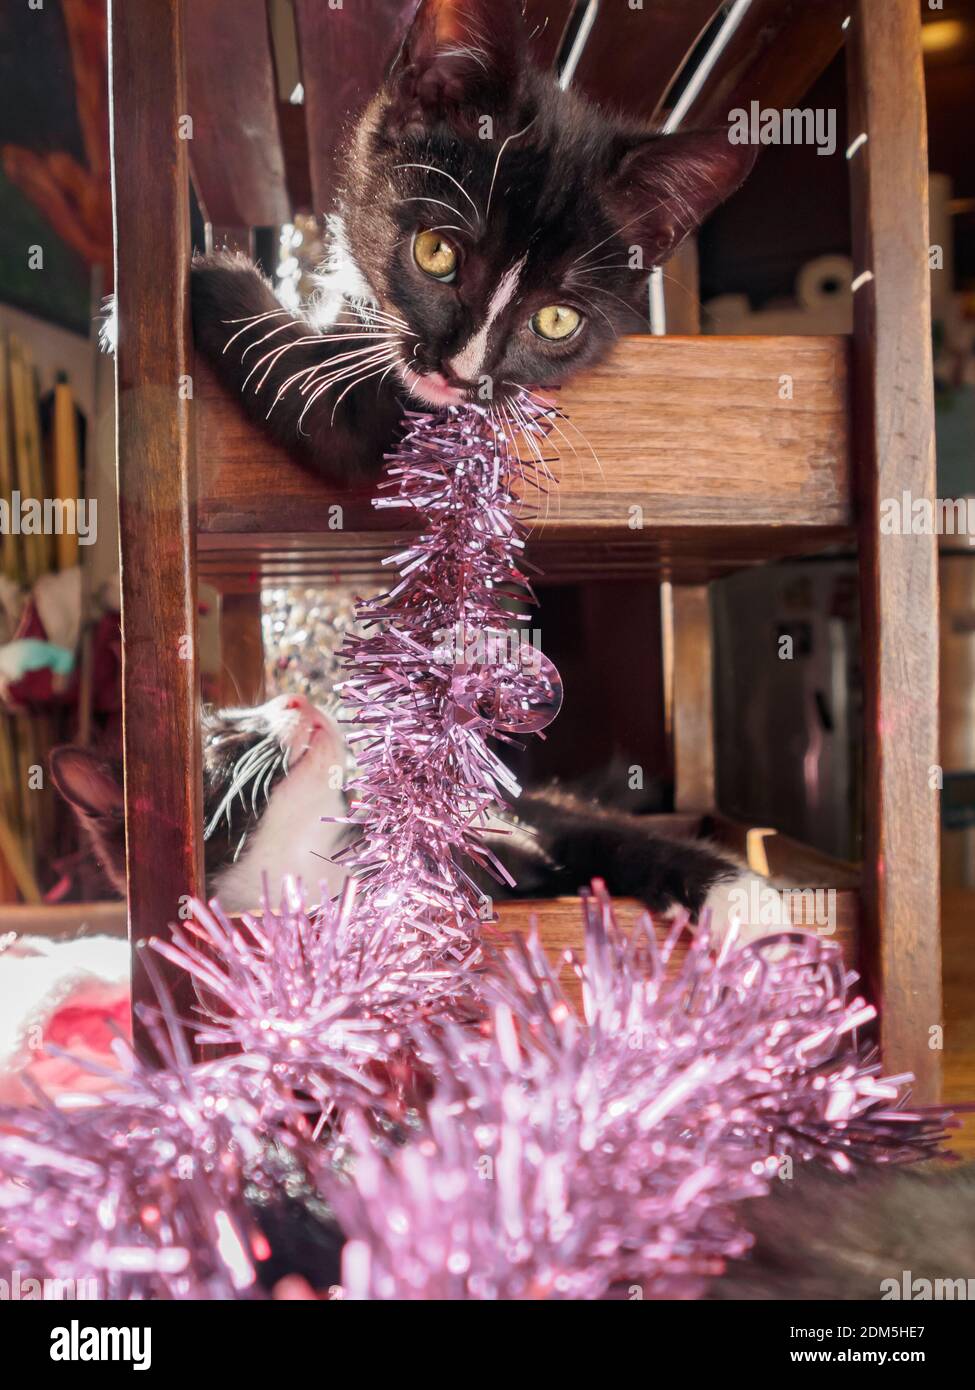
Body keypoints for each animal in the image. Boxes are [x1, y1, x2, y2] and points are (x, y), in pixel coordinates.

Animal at [191, 0, 751, 475]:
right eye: (435, 253)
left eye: (556, 321)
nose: (459, 374)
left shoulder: (368, 416)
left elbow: (310, 399)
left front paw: (214, 277)